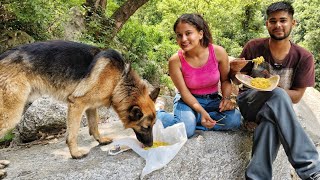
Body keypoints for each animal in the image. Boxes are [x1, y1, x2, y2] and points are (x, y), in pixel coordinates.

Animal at [0, 40, 160, 176]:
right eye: (145, 127)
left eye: (153, 126)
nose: (151, 145)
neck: (119, 80)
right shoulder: (76, 104)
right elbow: (72, 134)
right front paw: (75, 154)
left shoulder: (90, 107)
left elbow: (94, 126)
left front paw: (101, 140)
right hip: (11, 114)